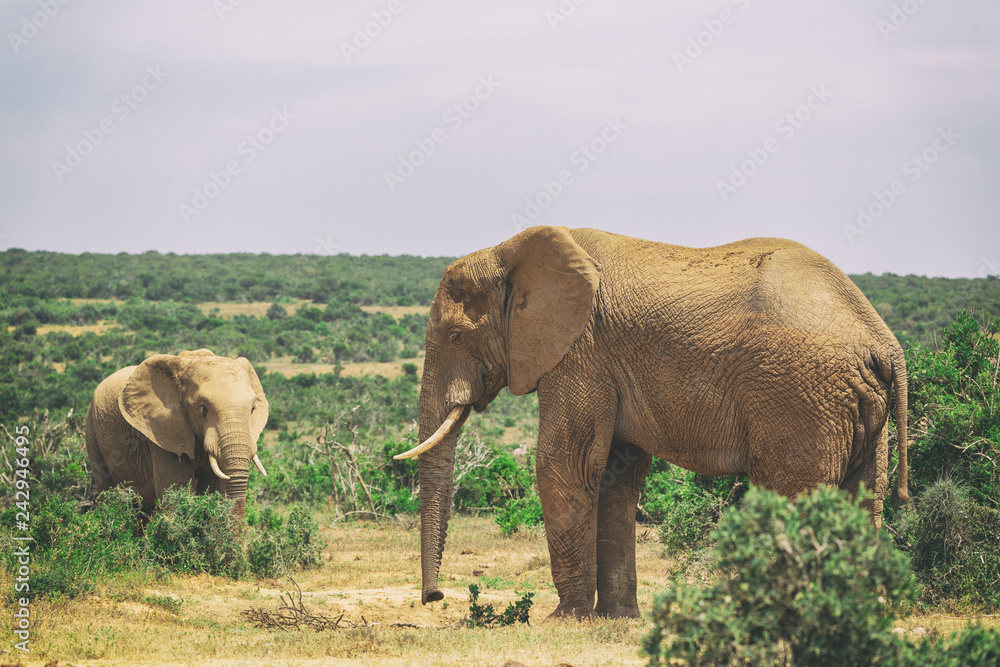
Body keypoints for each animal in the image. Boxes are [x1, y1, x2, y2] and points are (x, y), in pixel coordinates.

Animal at [85, 349, 269, 521]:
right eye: (203, 409)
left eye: (252, 409)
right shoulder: (161, 433)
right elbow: (175, 494)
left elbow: (212, 489)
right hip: (92, 429)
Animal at [394, 225, 909, 619]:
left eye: (456, 336)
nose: (434, 597)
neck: (508, 252)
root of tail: (883, 340)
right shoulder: (609, 362)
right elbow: (615, 477)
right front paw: (617, 619)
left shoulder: (580, 352)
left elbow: (564, 465)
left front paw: (564, 619)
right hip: (855, 407)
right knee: (865, 496)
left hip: (799, 396)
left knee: (791, 494)